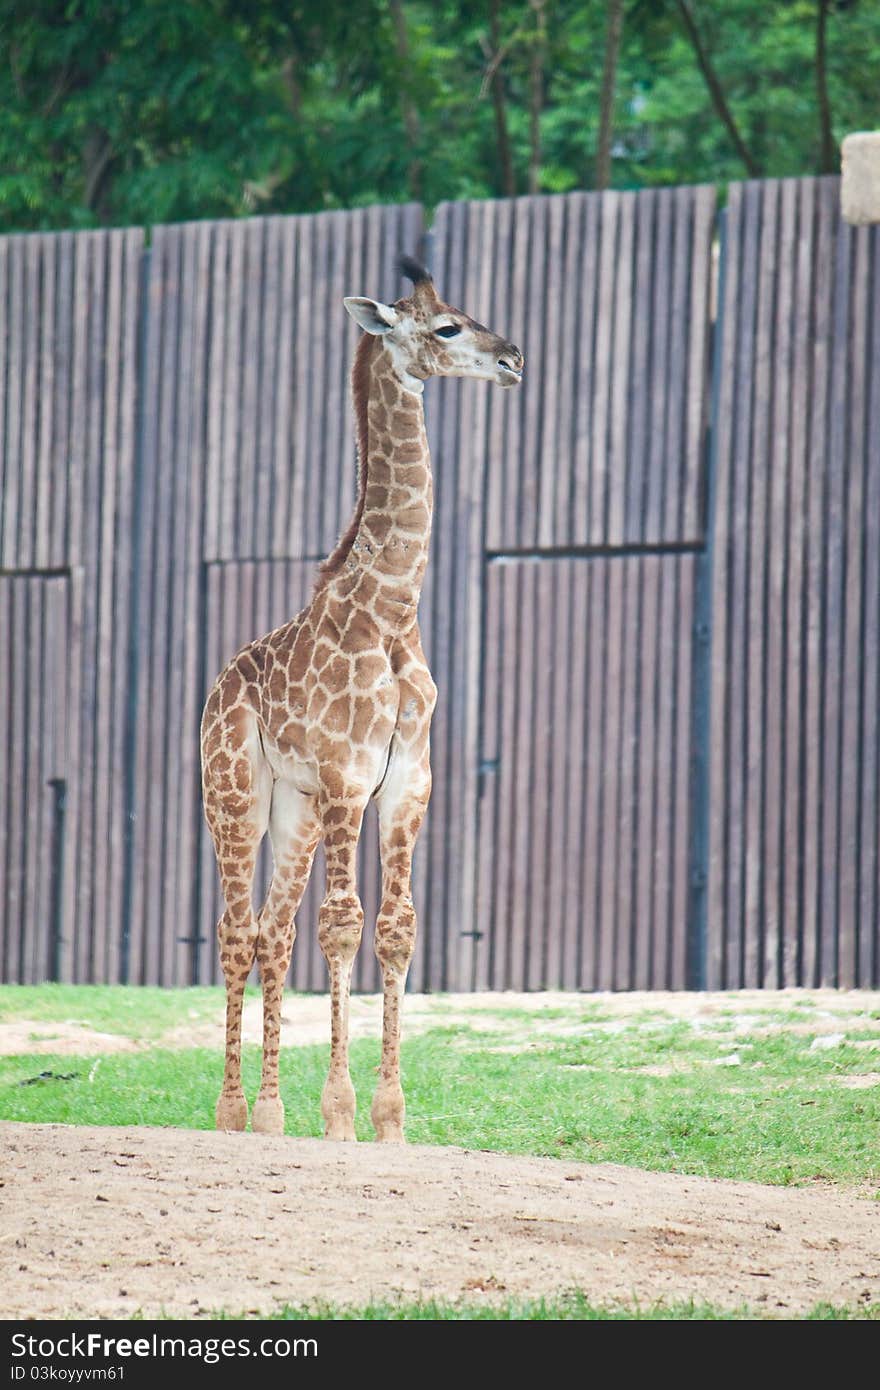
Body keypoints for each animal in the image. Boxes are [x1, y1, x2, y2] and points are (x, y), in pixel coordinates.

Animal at [198, 255, 522, 1145]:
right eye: (446, 327)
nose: (514, 358)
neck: (392, 608)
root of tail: (217, 685)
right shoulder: (349, 775)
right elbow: (342, 924)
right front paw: (341, 1117)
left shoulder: (408, 779)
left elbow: (396, 926)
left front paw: (390, 1121)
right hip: (234, 795)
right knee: (236, 930)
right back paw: (232, 1114)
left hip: (294, 809)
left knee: (272, 932)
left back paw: (271, 1117)